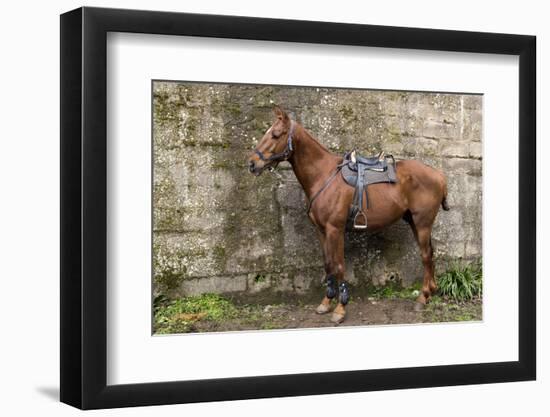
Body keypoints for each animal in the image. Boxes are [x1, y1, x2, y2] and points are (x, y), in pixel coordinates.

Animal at [248, 105, 450, 324]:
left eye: (275, 135)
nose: (252, 164)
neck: (323, 175)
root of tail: (439, 175)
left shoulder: (335, 230)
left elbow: (339, 266)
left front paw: (340, 308)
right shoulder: (322, 231)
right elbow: (328, 265)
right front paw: (326, 303)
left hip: (422, 223)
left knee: (425, 256)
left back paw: (422, 298)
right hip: (414, 221)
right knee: (430, 255)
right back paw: (430, 292)